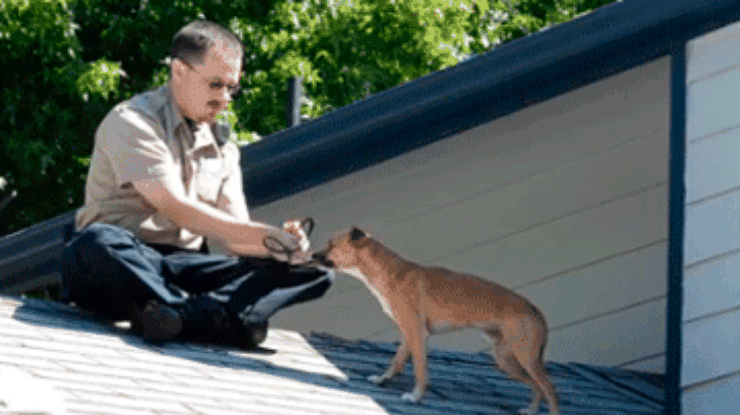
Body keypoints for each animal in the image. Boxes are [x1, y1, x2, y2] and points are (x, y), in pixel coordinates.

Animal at [312, 229, 560, 414]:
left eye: (330, 245)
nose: (312, 256)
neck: (389, 273)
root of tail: (534, 309)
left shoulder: (417, 334)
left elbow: (420, 370)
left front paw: (415, 398)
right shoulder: (407, 335)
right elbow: (396, 361)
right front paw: (383, 380)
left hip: (524, 356)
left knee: (550, 389)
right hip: (506, 360)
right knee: (537, 387)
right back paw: (530, 410)